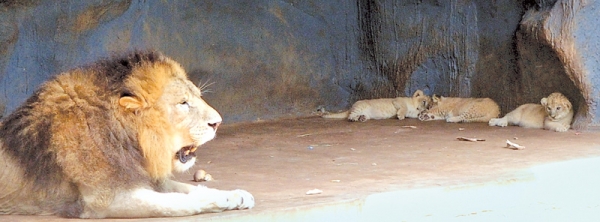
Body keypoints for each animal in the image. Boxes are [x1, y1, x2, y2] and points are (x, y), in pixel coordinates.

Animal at [0, 51, 254, 218]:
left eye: (198, 96)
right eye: (183, 103)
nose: (218, 123)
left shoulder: (143, 177)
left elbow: (190, 190)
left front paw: (235, 195)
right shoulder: (105, 200)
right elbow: (177, 203)